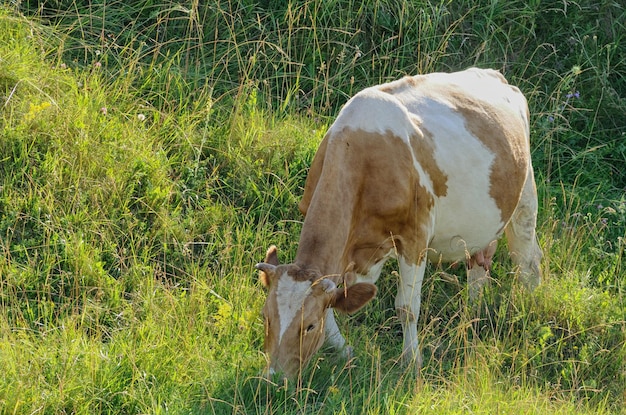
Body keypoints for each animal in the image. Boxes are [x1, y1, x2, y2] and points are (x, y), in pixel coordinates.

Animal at [254, 67, 540, 380]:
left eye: (309, 326)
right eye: (266, 318)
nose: (274, 378)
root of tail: (494, 75)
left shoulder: (415, 237)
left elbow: (407, 308)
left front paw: (411, 361)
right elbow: (336, 304)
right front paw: (345, 351)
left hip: (525, 197)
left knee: (528, 262)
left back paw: (529, 312)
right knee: (477, 264)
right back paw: (470, 317)